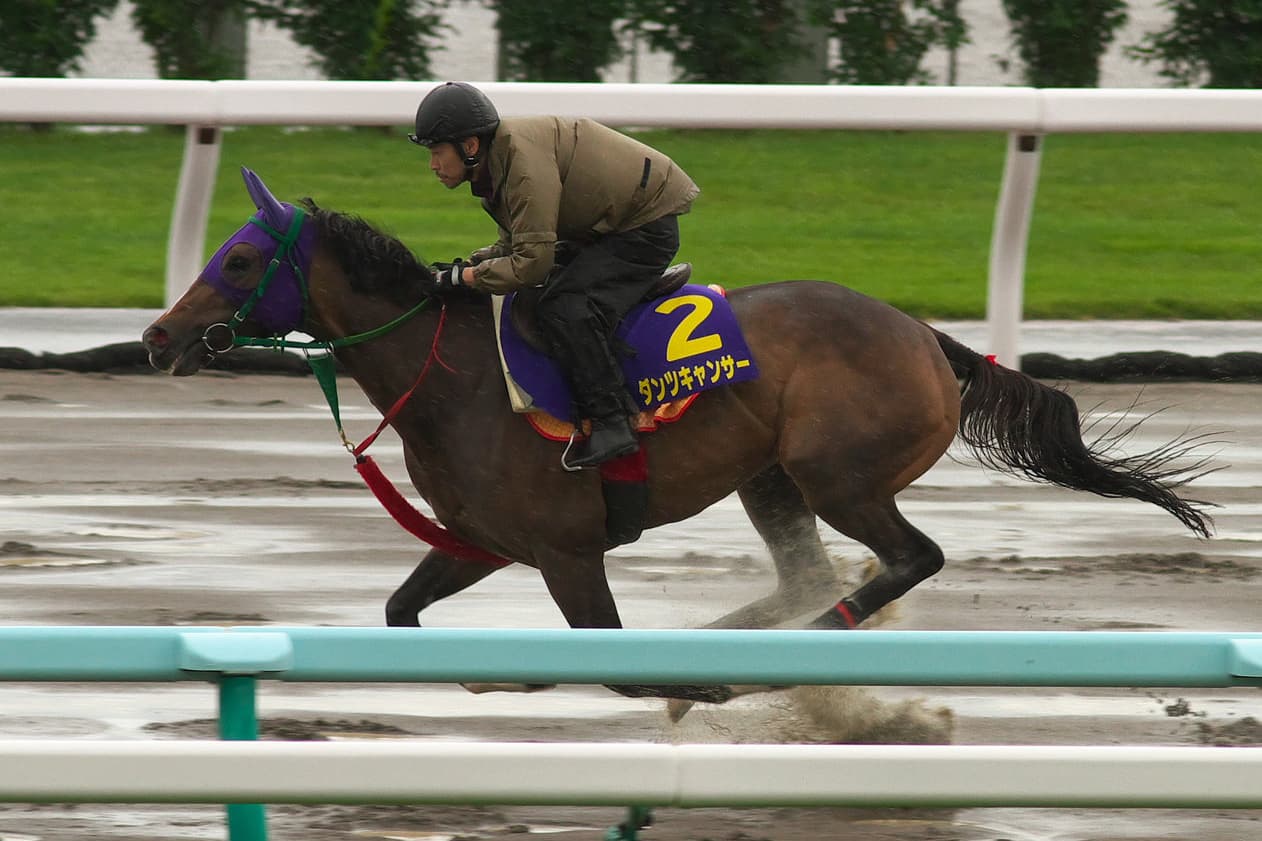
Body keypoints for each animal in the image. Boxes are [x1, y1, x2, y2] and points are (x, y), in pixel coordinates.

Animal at [142, 168, 1214, 705]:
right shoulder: (484, 541)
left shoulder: (568, 550)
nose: (157, 337)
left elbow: (612, 654)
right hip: (770, 477)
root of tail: (926, 336)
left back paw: (784, 655)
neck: (459, 382)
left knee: (905, 560)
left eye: (239, 260)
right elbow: (403, 612)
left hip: (839, 474)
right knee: (805, 574)